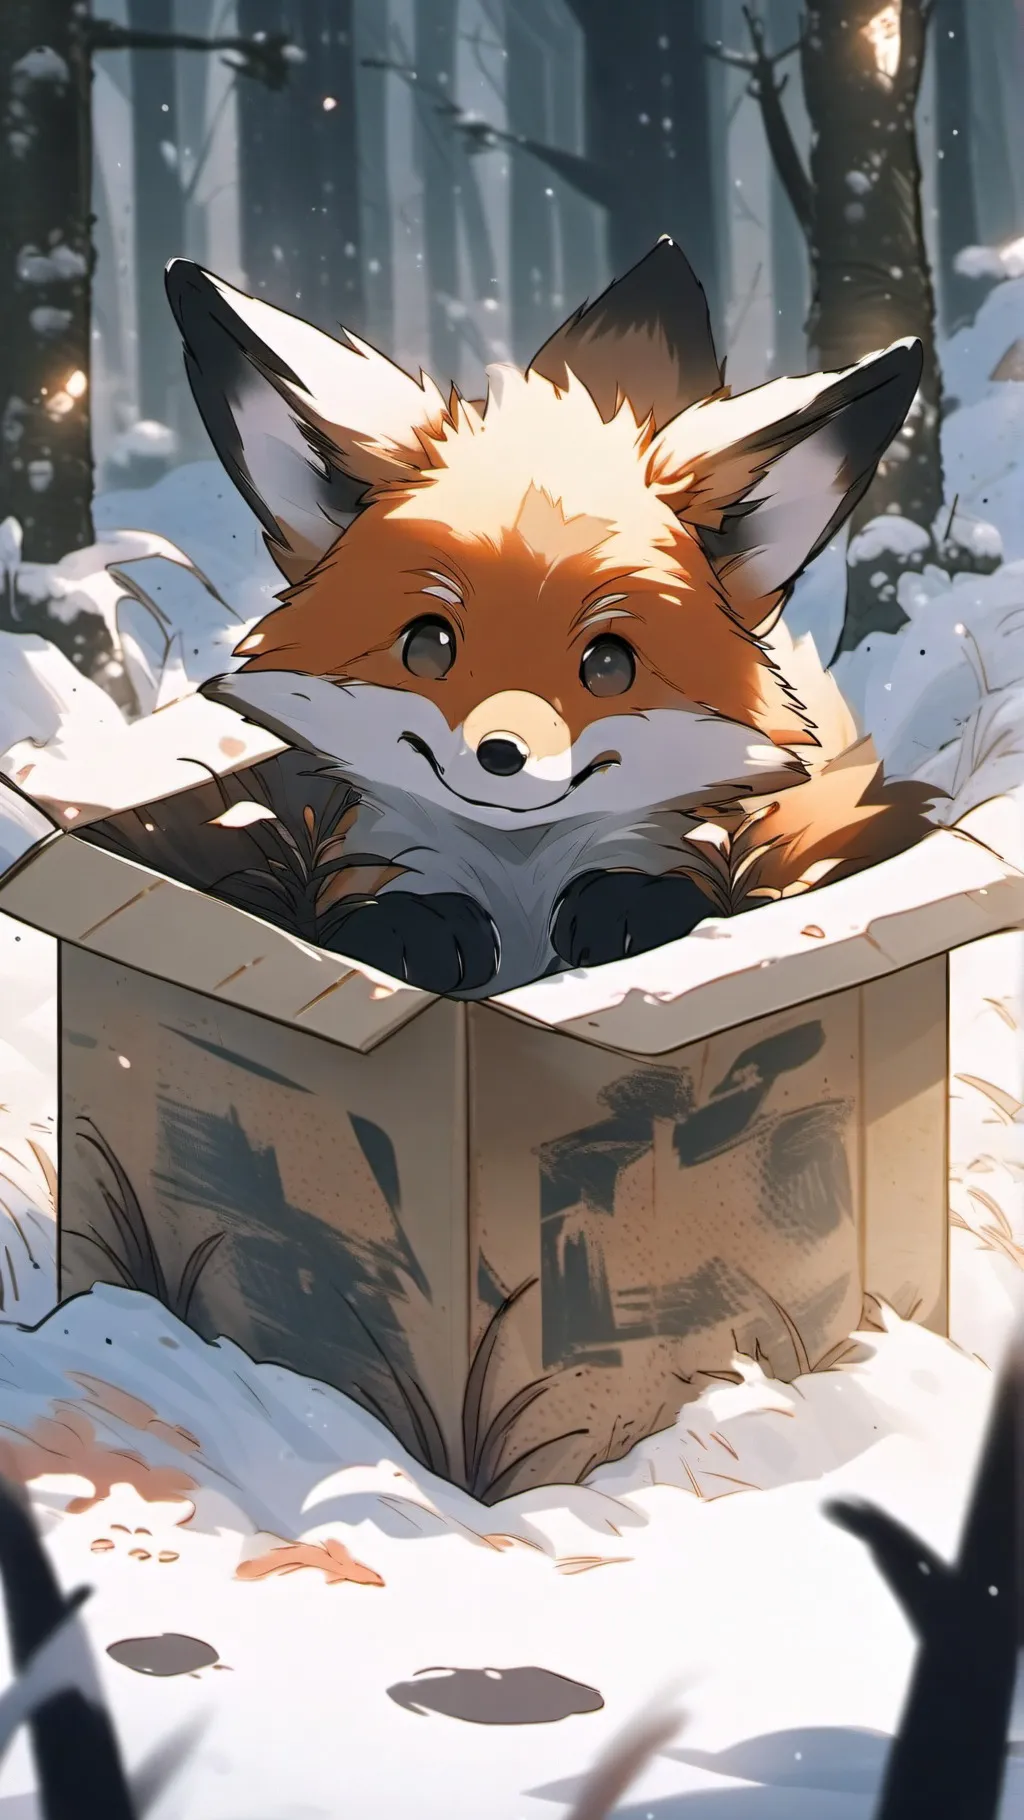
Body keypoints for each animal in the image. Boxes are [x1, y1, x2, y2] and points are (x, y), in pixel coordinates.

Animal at [165, 238, 936, 1000]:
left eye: (609, 663)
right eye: (427, 646)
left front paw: (623, 909)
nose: (503, 755)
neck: (520, 879)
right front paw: (420, 930)